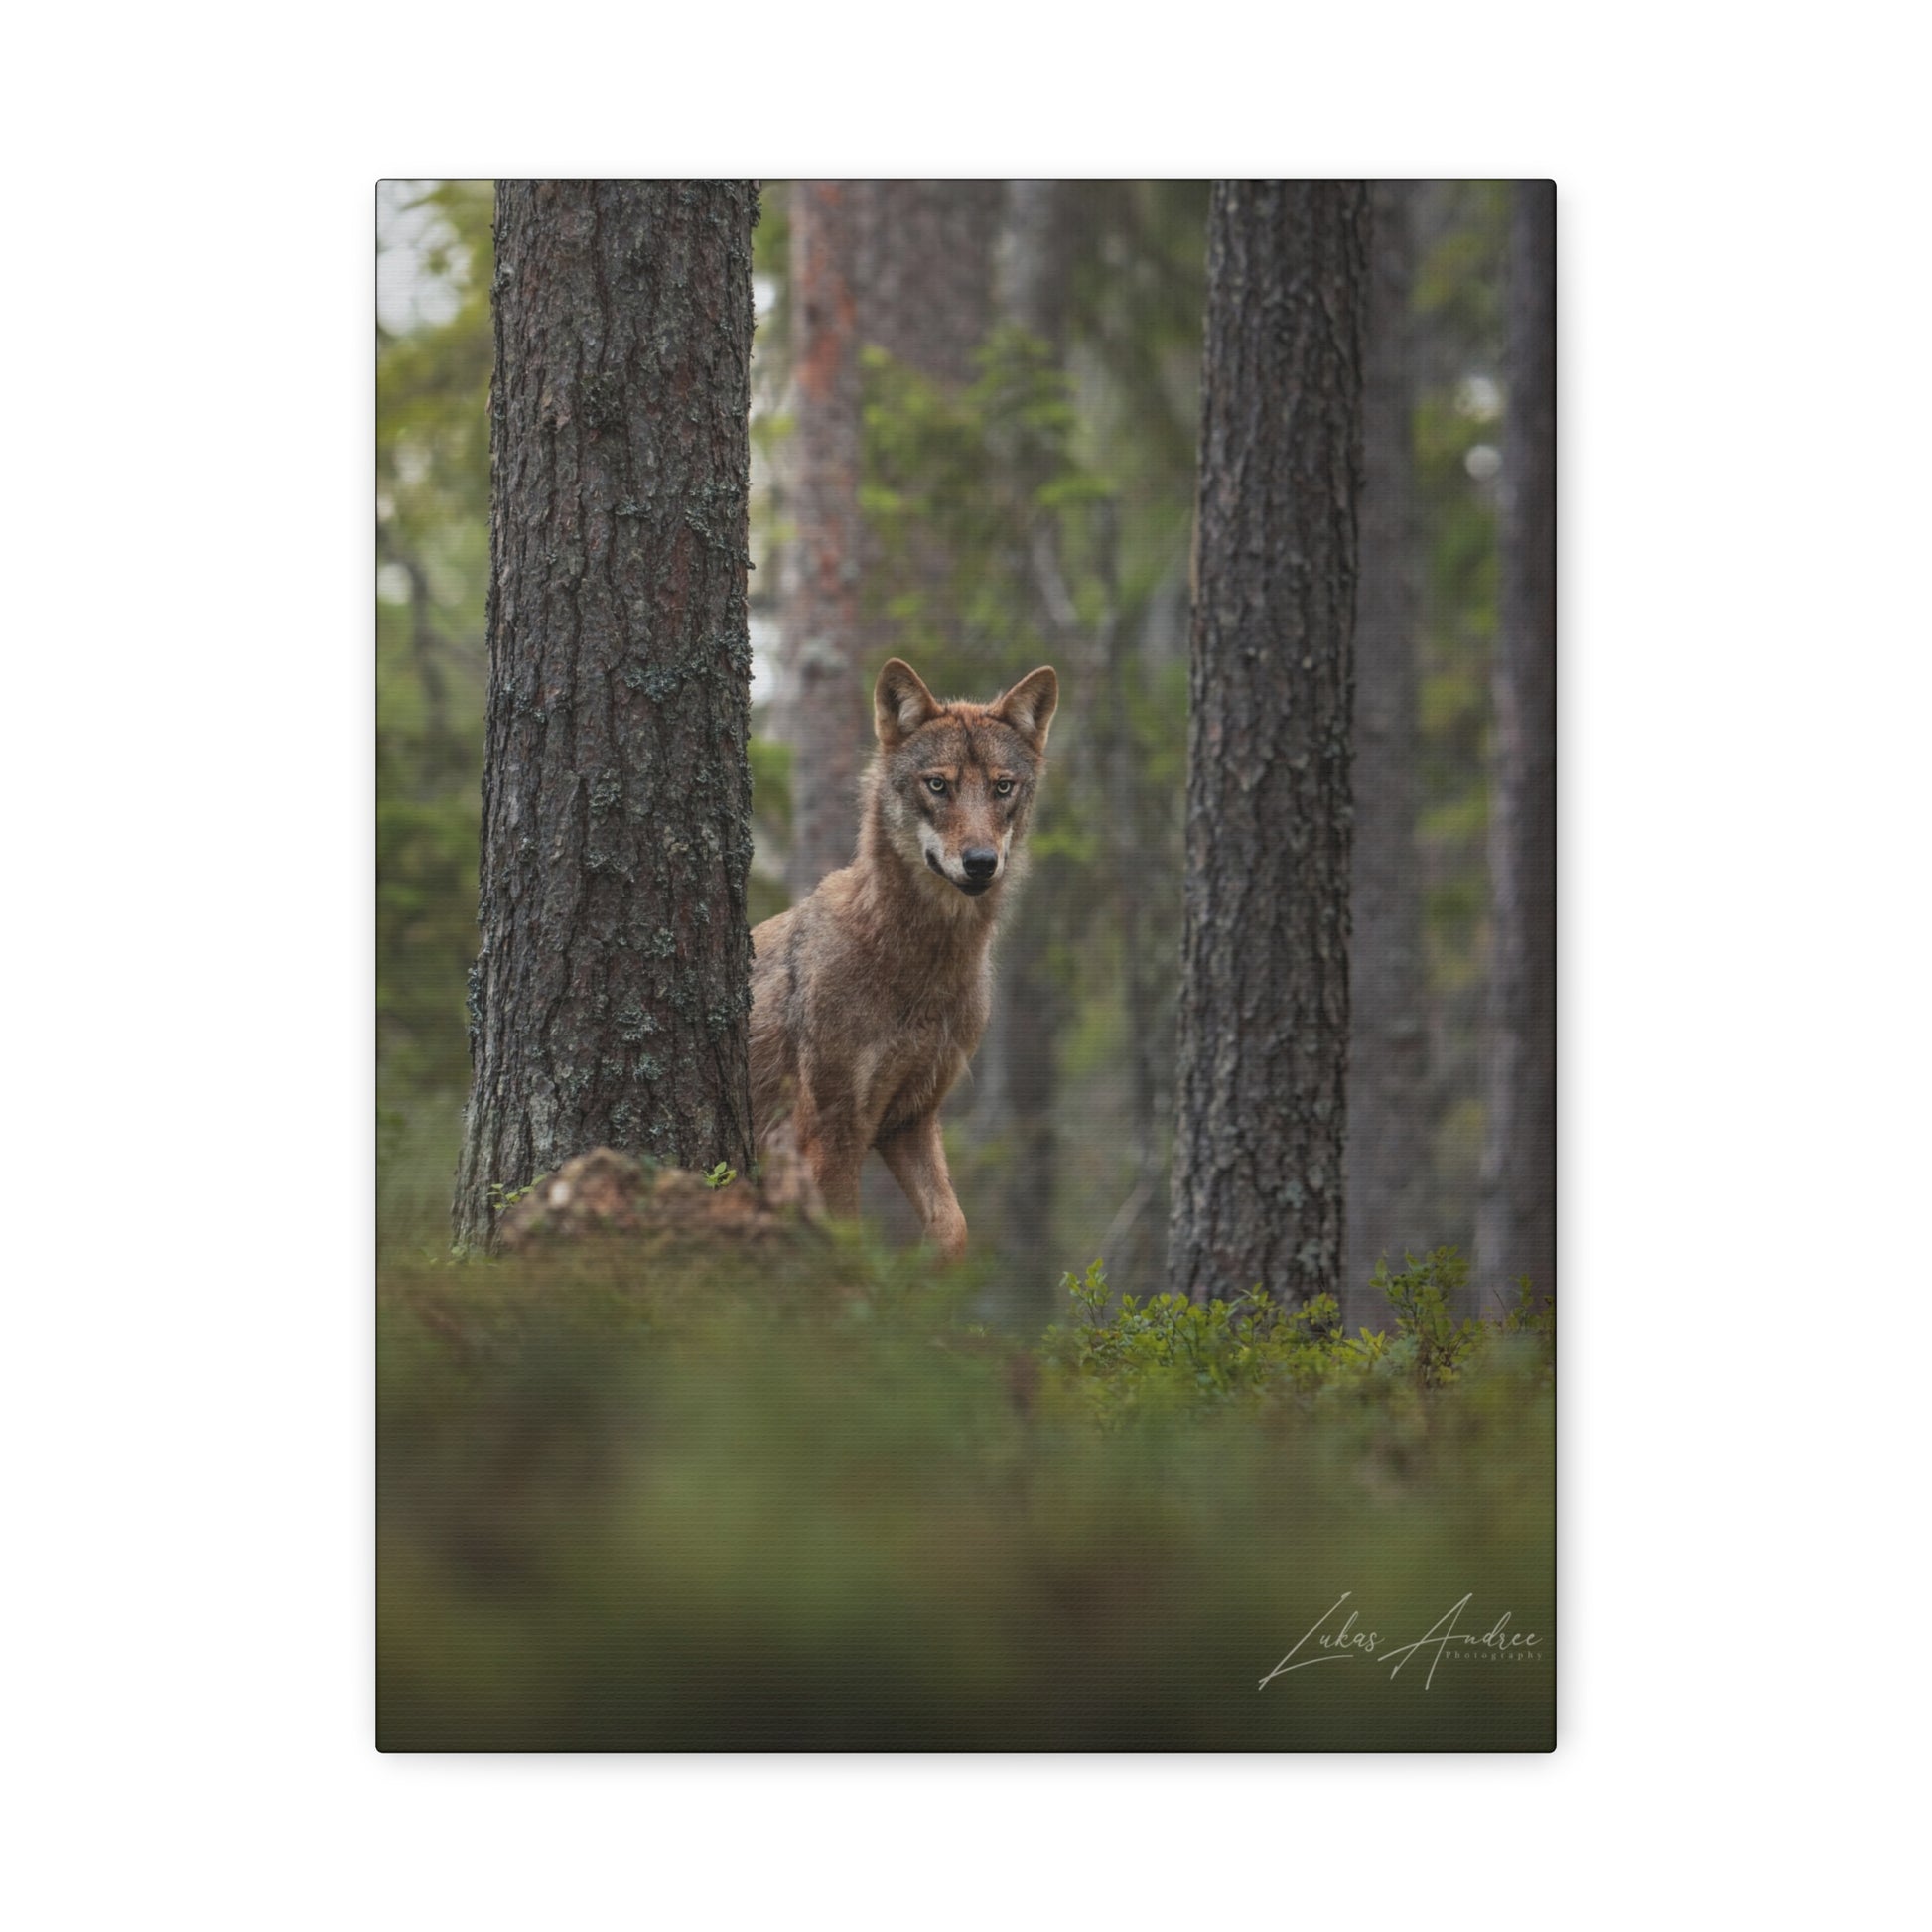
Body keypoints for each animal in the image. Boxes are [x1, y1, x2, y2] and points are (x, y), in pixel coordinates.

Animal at [749, 657, 1060, 1260]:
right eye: (938, 785)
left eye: (1002, 787)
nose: (981, 862)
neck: (923, 969)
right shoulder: (830, 1133)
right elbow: (847, 1249)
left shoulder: (911, 1118)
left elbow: (953, 1228)